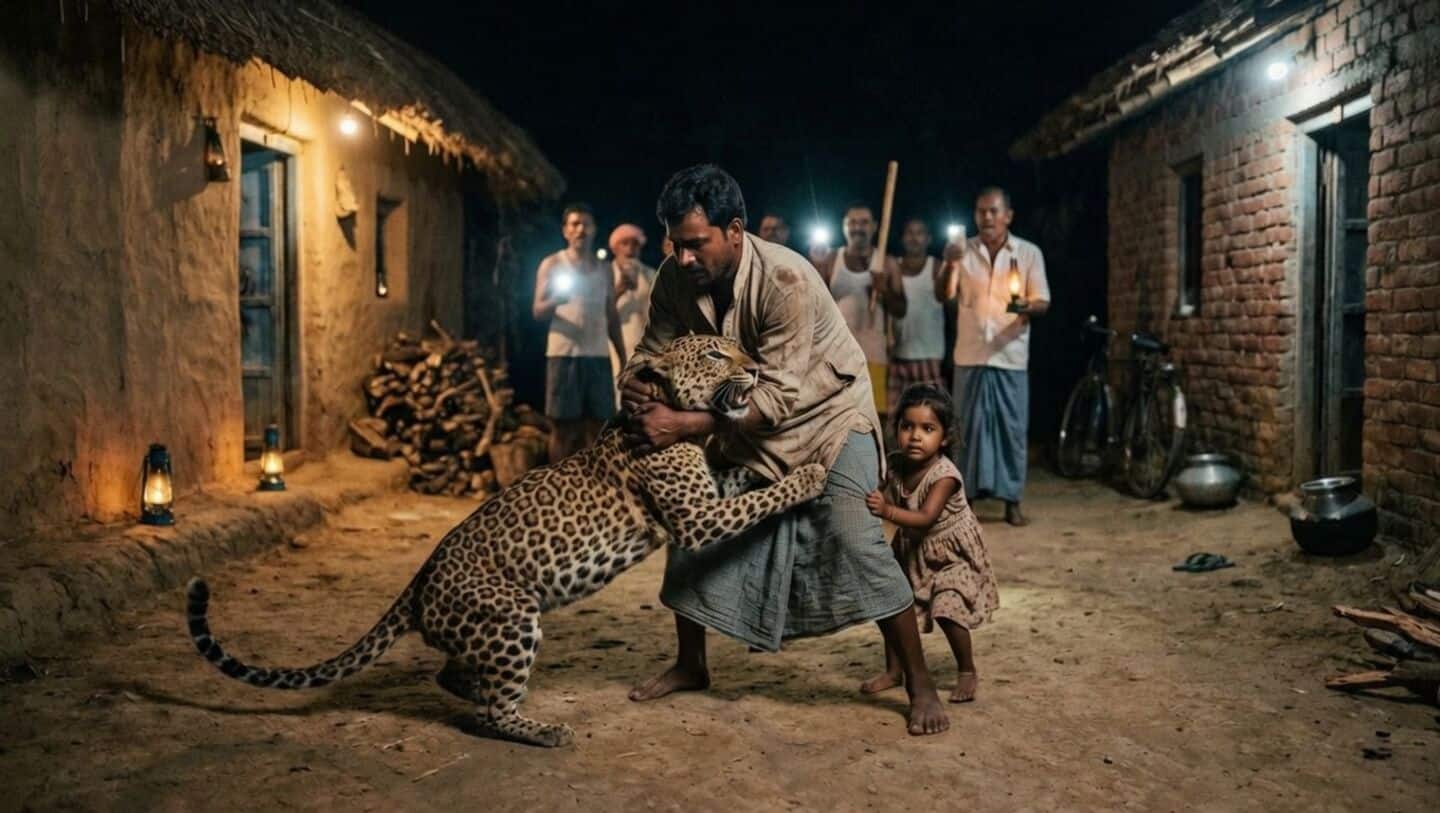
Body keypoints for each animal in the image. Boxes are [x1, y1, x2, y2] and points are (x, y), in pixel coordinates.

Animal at [185, 333, 827, 747]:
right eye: (717, 352)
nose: (757, 368)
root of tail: (419, 584)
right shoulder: (697, 518)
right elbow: (755, 500)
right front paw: (810, 474)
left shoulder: (708, 496)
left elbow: (743, 483)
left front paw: (787, 465)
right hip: (512, 615)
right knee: (492, 713)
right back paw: (543, 730)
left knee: (450, 675)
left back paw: (477, 691)